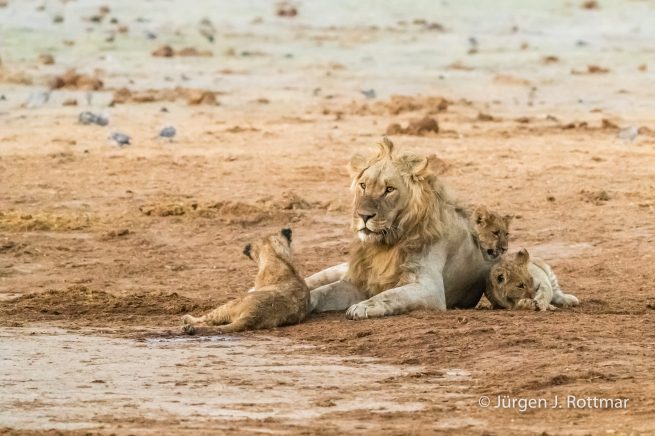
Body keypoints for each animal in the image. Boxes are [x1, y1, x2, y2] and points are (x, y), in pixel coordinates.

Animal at [305, 137, 491, 319]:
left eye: (389, 189)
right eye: (363, 185)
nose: (363, 216)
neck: (386, 243)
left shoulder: (430, 288)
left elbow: (391, 295)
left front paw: (363, 306)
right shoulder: (360, 281)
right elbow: (325, 291)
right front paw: (305, 301)